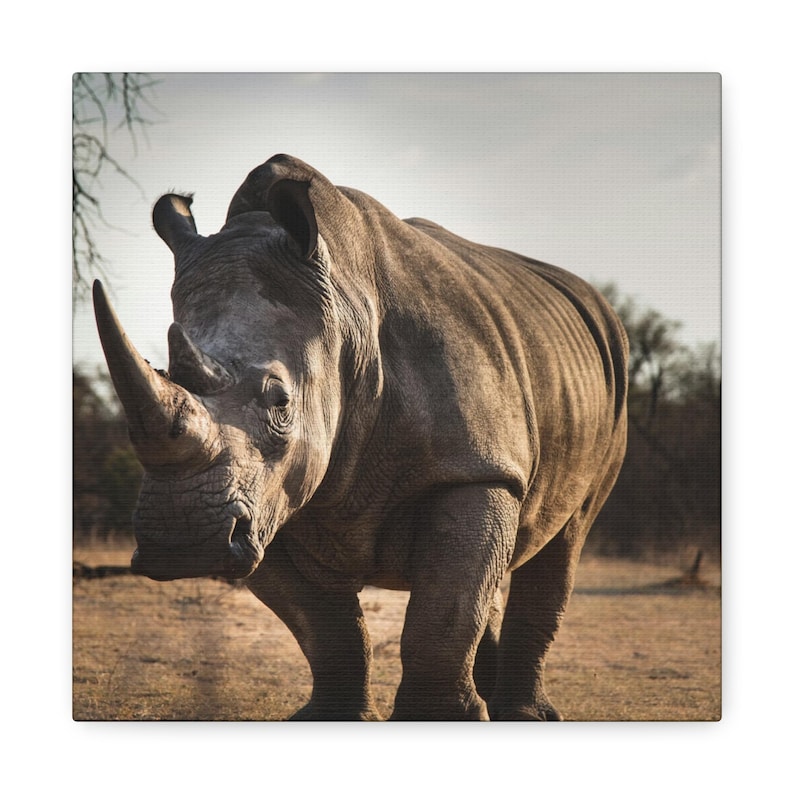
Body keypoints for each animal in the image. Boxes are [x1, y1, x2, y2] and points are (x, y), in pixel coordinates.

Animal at [93, 153, 628, 720]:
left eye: (280, 401)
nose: (182, 541)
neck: (347, 316)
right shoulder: (265, 506)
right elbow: (330, 629)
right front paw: (334, 717)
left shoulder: (475, 469)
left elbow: (441, 617)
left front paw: (437, 721)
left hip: (608, 380)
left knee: (564, 537)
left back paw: (527, 715)